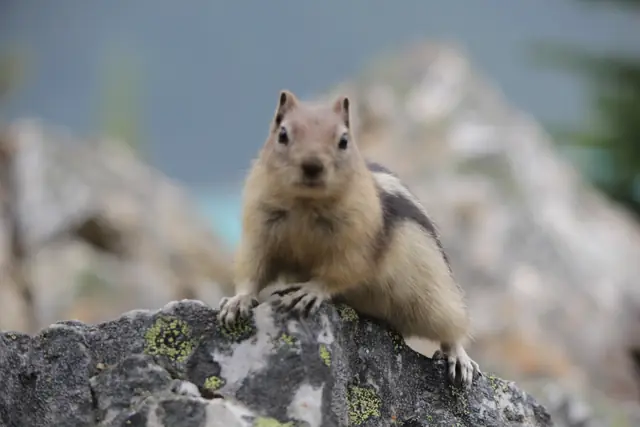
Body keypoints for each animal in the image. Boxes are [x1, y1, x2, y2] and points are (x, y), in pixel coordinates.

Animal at [218, 89, 481, 387]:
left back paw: (459, 358)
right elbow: (252, 269)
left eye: (343, 140)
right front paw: (236, 301)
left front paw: (310, 290)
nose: (312, 165)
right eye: (282, 134)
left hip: (434, 296)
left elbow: (342, 271)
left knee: (453, 326)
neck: (306, 204)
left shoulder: (357, 243)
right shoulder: (258, 233)